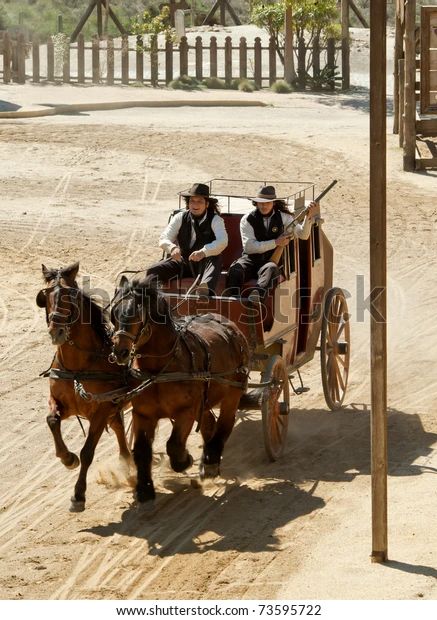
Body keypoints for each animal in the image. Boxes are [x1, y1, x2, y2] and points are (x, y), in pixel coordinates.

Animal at [35, 262, 131, 508]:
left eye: (70, 294)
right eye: (45, 295)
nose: (56, 331)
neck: (79, 366)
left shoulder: (102, 409)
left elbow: (88, 451)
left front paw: (78, 494)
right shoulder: (63, 403)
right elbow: (51, 420)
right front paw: (68, 458)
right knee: (119, 428)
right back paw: (128, 463)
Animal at [110, 276, 249, 504]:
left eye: (135, 314)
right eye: (114, 314)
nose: (119, 351)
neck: (159, 371)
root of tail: (228, 325)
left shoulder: (186, 412)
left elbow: (174, 445)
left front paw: (185, 461)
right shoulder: (143, 414)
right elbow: (141, 450)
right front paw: (144, 489)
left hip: (233, 393)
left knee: (224, 424)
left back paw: (210, 462)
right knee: (209, 424)